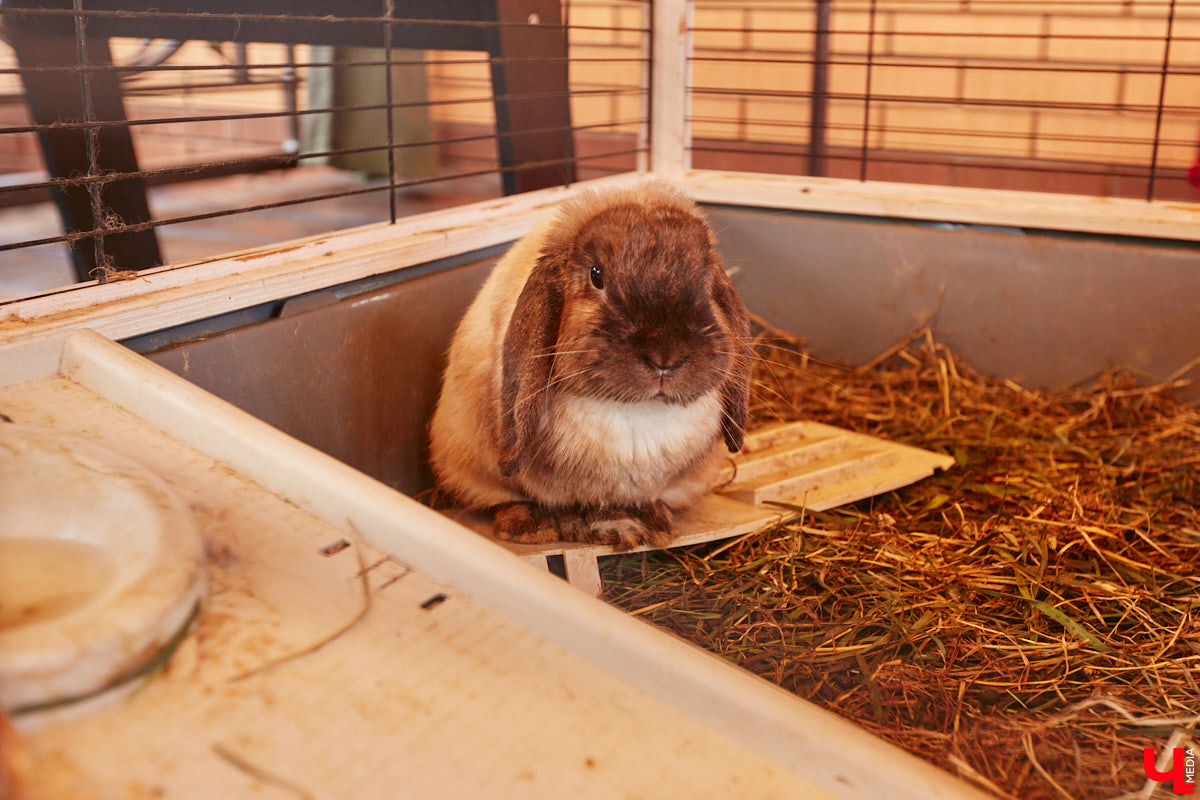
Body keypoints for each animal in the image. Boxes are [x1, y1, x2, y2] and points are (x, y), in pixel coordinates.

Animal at [429, 183, 748, 551]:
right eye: (597, 276)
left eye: (705, 277)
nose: (665, 356)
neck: (634, 415)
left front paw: (651, 525)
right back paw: (530, 526)